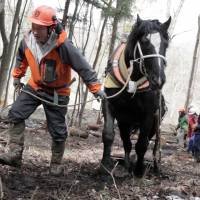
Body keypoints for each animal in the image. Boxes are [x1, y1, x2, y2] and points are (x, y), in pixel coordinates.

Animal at [101, 16, 171, 178]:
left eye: (166, 43)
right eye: (145, 41)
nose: (159, 80)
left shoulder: (149, 113)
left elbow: (142, 144)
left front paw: (139, 171)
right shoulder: (109, 103)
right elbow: (109, 134)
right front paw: (105, 165)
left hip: (155, 122)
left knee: (153, 144)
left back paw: (153, 166)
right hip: (124, 122)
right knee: (126, 142)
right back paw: (127, 163)